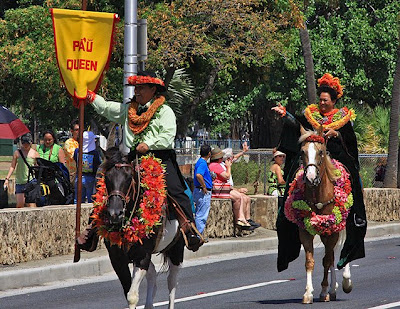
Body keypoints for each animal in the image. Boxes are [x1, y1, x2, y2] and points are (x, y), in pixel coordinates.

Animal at [95, 147, 184, 308]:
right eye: (106, 178)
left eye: (129, 177)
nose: (114, 214)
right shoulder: (117, 258)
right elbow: (128, 292)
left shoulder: (142, 256)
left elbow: (132, 296)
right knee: (153, 274)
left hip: (177, 249)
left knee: (172, 282)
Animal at [284, 125, 354, 304]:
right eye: (302, 151)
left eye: (321, 152)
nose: (310, 177)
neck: (318, 195)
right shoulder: (305, 231)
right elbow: (311, 261)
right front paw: (308, 293)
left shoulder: (333, 230)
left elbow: (327, 260)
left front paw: (324, 291)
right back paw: (333, 288)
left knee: (340, 250)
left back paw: (345, 282)